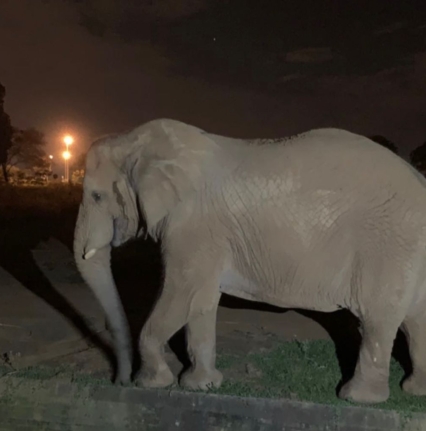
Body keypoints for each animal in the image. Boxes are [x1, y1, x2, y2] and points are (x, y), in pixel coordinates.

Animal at [74, 118, 426, 404]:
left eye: (96, 196)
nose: (118, 382)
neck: (133, 141)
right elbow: (201, 302)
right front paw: (202, 386)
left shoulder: (193, 228)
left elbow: (181, 295)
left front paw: (151, 384)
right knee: (416, 319)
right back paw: (414, 391)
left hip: (388, 242)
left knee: (378, 318)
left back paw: (357, 398)